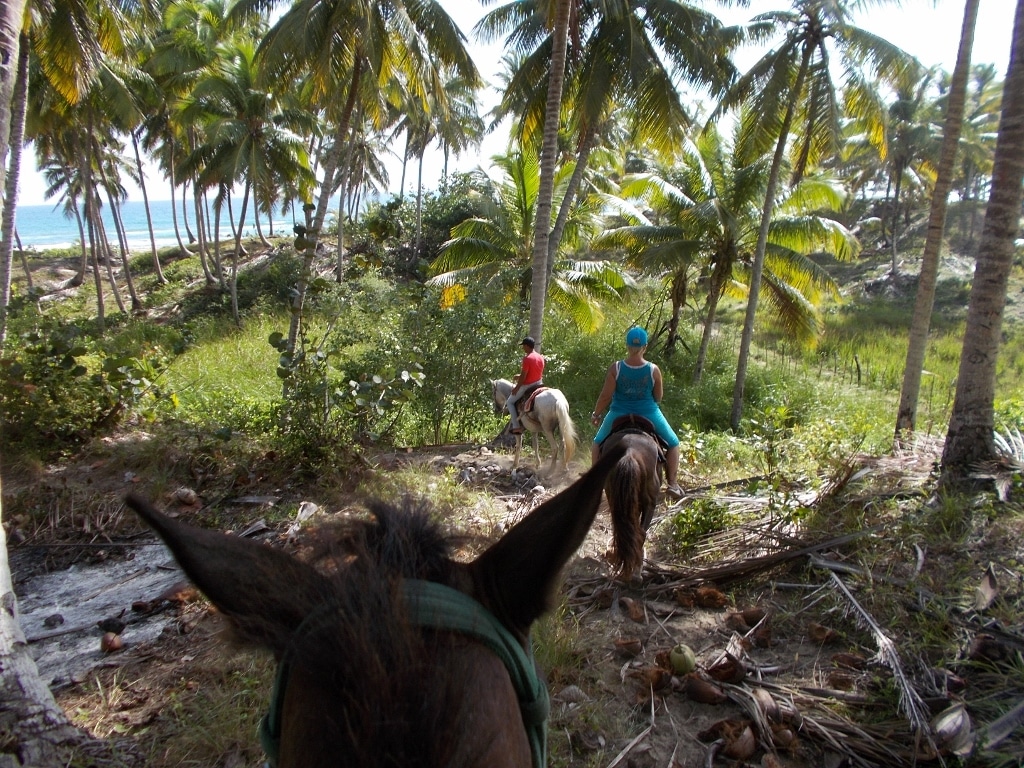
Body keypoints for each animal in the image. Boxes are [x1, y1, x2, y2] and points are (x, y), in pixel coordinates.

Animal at [599, 417, 663, 581]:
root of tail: (629, 452)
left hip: (615, 498)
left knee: (623, 530)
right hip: (650, 502)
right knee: (641, 534)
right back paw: (636, 573)